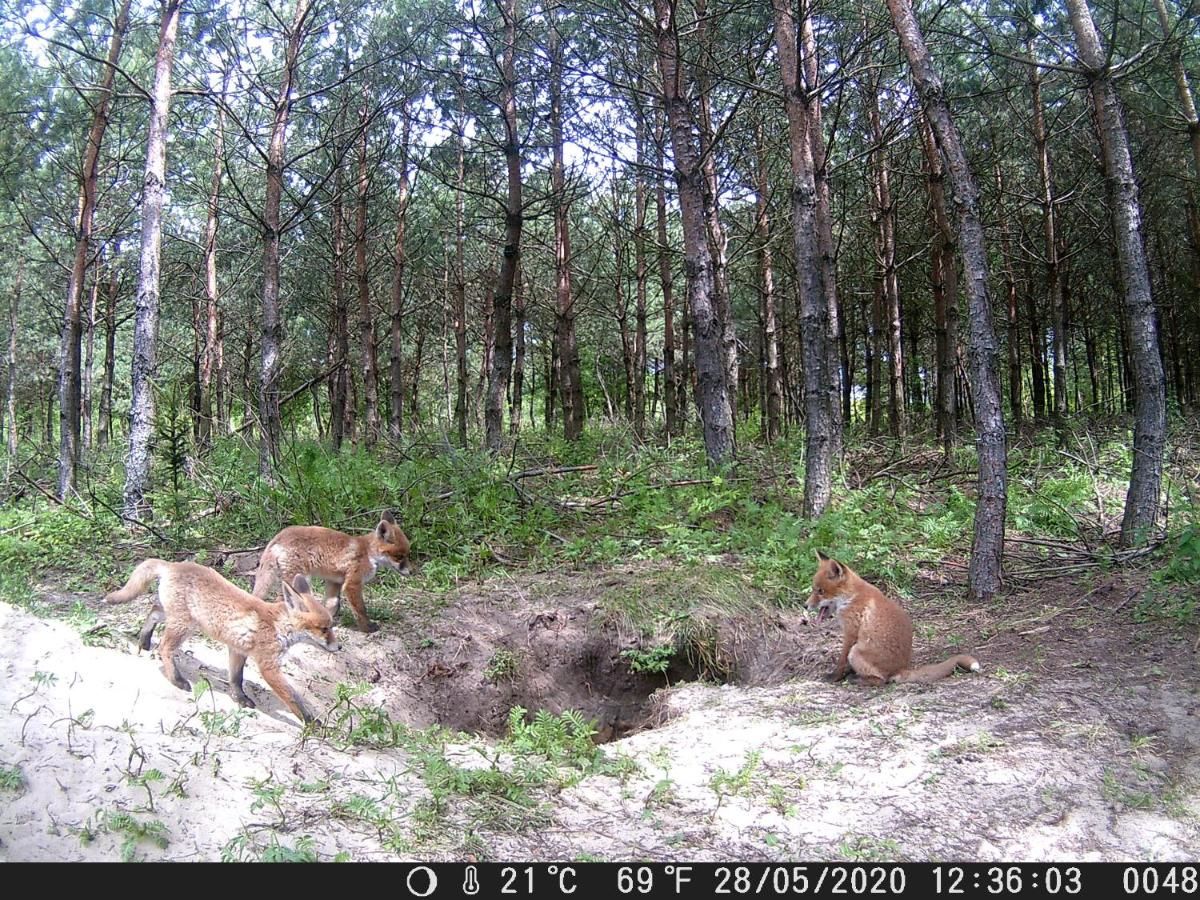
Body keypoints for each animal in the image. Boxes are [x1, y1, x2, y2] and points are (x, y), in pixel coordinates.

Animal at [104, 561, 338, 724]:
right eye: (324, 629)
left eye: (331, 626)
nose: (339, 647)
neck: (277, 625)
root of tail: (172, 564)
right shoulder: (268, 666)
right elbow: (293, 698)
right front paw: (311, 723)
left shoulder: (237, 650)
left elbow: (236, 679)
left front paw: (240, 699)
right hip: (183, 626)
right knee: (164, 648)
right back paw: (177, 680)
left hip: (172, 616)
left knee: (152, 613)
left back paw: (144, 641)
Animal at [250, 513, 410, 633]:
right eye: (399, 556)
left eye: (407, 554)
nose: (411, 572)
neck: (368, 553)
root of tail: (278, 537)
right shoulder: (352, 583)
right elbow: (361, 610)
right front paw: (367, 628)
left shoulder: (335, 582)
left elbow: (332, 604)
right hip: (300, 580)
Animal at [806, 554, 974, 686]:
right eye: (814, 589)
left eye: (820, 591)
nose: (805, 605)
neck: (851, 596)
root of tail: (901, 669)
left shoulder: (851, 632)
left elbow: (841, 661)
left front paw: (834, 677)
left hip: (856, 652)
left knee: (881, 680)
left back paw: (858, 679)